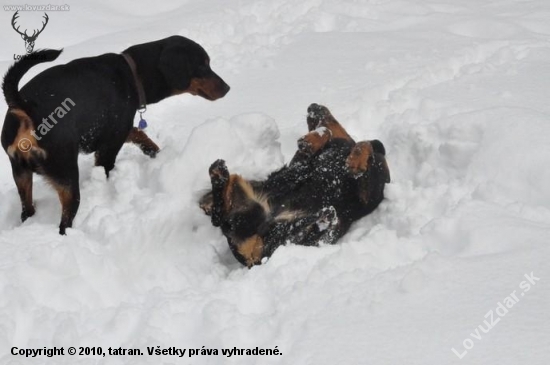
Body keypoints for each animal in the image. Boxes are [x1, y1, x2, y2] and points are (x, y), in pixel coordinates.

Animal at [2, 36, 231, 233]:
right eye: (202, 65)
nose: (228, 88)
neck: (133, 74)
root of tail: (25, 108)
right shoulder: (109, 145)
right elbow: (109, 164)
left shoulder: (116, 129)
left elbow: (139, 134)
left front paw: (155, 152)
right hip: (67, 177)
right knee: (64, 224)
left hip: (21, 174)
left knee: (27, 210)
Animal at [201, 104, 390, 266]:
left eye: (333, 118)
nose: (312, 106)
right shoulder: (298, 165)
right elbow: (329, 136)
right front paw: (312, 140)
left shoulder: (367, 193)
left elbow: (366, 144)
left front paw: (356, 162)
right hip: (247, 195)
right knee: (218, 213)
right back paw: (218, 174)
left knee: (219, 216)